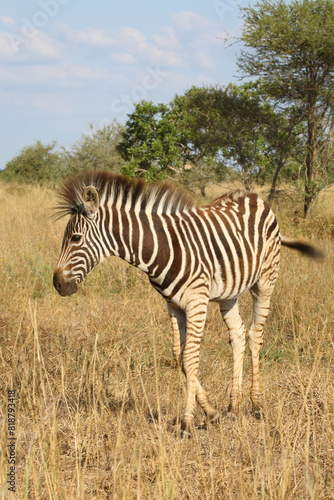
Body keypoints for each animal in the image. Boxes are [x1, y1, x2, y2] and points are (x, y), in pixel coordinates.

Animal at [53, 171, 322, 434]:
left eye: (75, 238)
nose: (57, 284)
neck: (161, 249)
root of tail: (254, 197)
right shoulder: (173, 305)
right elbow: (180, 356)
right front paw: (212, 413)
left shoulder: (197, 302)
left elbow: (190, 359)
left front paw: (186, 422)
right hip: (229, 293)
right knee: (238, 334)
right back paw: (233, 405)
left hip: (266, 280)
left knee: (256, 334)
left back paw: (256, 404)